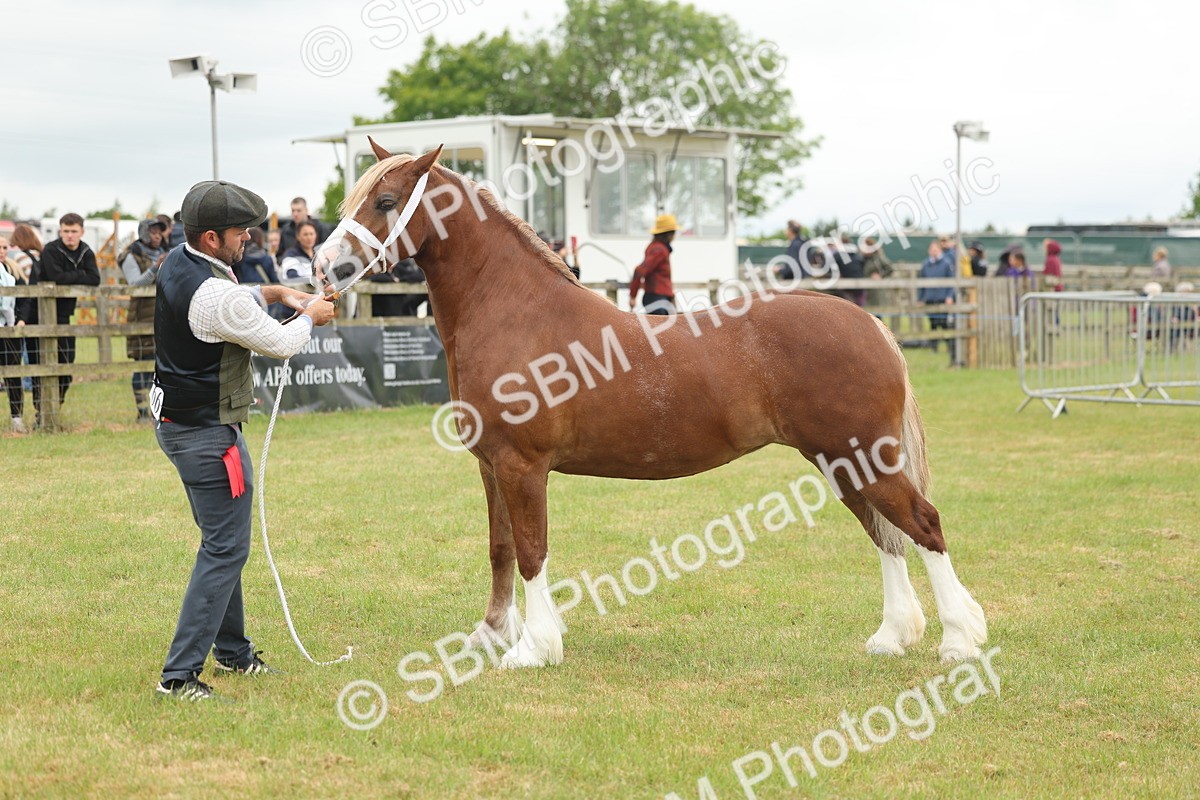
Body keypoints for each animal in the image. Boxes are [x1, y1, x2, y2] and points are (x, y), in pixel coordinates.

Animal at [316, 140, 987, 668]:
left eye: (384, 201)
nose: (326, 266)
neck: (515, 309)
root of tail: (868, 322)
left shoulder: (521, 466)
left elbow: (532, 551)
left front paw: (534, 648)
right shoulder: (491, 465)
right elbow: (501, 549)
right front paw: (489, 637)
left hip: (863, 456)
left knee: (922, 524)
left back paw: (958, 641)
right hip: (843, 463)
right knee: (887, 535)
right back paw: (892, 638)